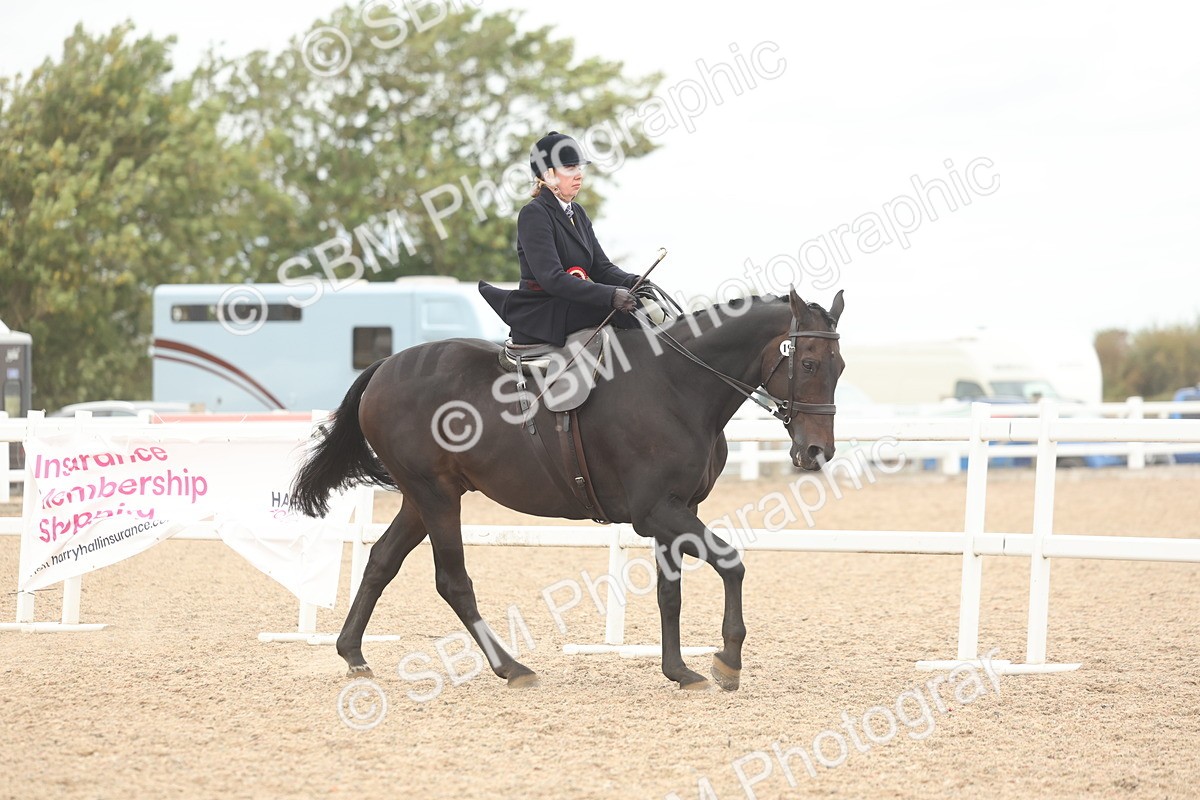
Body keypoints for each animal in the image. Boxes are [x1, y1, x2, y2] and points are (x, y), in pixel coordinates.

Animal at [290, 288, 845, 691]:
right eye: (809, 364)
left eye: (839, 367)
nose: (816, 452)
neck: (678, 385)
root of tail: (385, 367)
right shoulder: (655, 512)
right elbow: (730, 562)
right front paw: (727, 659)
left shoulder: (676, 510)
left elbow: (670, 592)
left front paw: (678, 670)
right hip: (436, 497)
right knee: (452, 581)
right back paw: (511, 668)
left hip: (420, 497)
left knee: (382, 560)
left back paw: (352, 653)